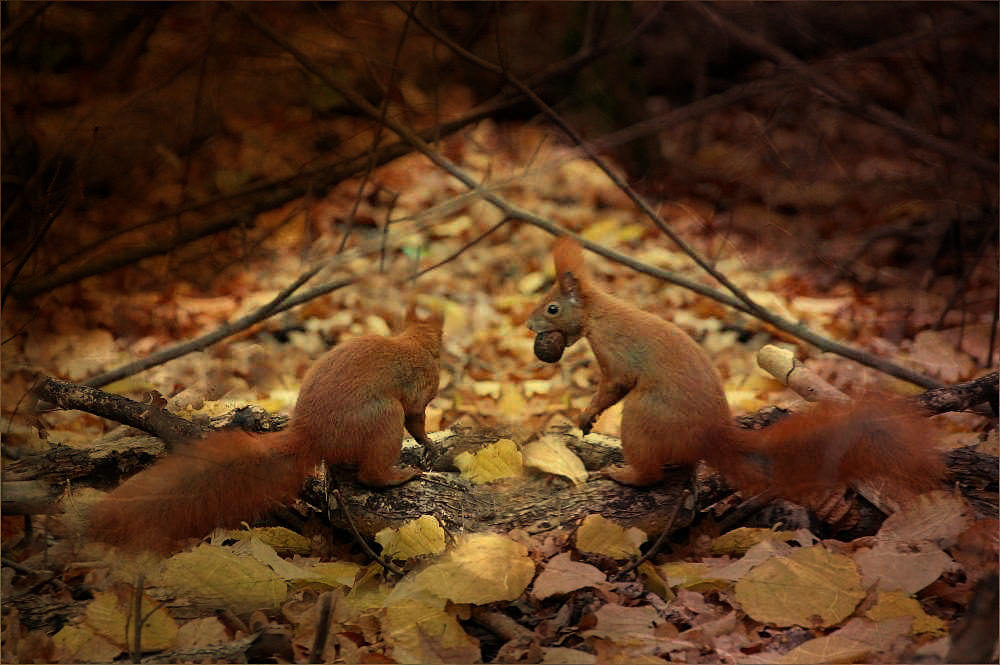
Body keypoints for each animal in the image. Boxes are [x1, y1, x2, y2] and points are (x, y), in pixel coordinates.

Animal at [89, 304, 442, 548]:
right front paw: (428, 444)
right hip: (384, 417)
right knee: (371, 473)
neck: (414, 343)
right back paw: (398, 475)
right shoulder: (418, 392)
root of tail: (310, 436)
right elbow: (416, 419)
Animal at [528, 239, 940, 504]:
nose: (529, 325)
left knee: (650, 473)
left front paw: (587, 415)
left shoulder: (615, 354)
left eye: (552, 308)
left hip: (643, 417)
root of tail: (713, 435)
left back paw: (623, 474)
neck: (598, 315)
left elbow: (613, 385)